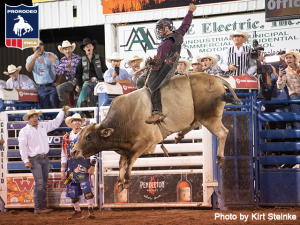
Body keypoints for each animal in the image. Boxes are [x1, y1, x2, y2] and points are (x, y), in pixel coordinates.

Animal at [72, 73, 241, 192]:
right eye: (79, 135)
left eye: (88, 136)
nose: (74, 152)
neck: (125, 119)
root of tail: (216, 79)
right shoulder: (126, 147)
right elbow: (122, 163)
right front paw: (120, 183)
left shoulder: (144, 142)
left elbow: (130, 160)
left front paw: (127, 181)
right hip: (201, 116)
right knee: (195, 123)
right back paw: (179, 136)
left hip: (210, 118)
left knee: (222, 133)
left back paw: (220, 159)